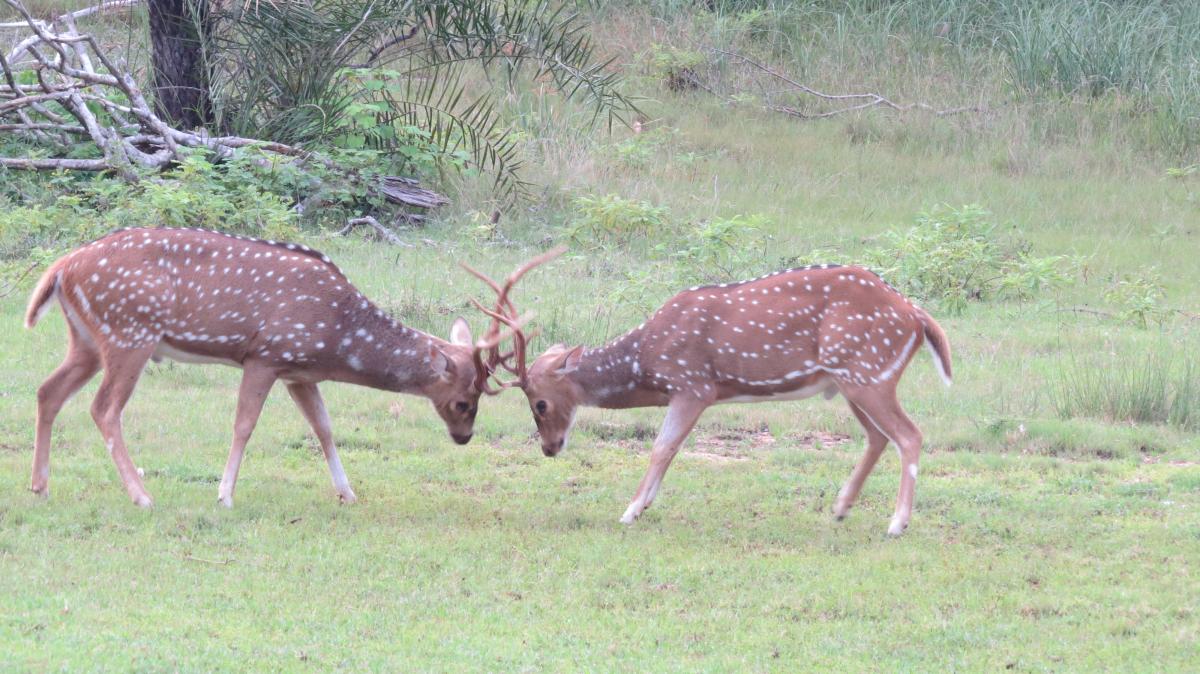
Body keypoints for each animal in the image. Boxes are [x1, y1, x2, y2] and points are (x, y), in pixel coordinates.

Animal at [23, 226, 539, 508]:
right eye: (464, 401)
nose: (464, 437)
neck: (337, 338)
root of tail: (61, 267)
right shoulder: (266, 354)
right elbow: (244, 425)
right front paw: (225, 495)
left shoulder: (299, 373)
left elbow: (324, 428)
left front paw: (348, 493)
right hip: (130, 332)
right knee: (104, 409)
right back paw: (141, 495)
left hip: (87, 340)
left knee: (48, 391)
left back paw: (40, 487)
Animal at [466, 262, 952, 536]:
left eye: (540, 404)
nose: (549, 448)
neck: (648, 362)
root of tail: (917, 316)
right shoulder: (693, 391)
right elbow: (670, 449)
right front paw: (645, 505)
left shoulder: (693, 385)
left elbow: (662, 448)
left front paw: (630, 511)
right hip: (852, 380)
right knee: (879, 436)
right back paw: (840, 508)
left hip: (868, 371)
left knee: (910, 434)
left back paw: (897, 523)